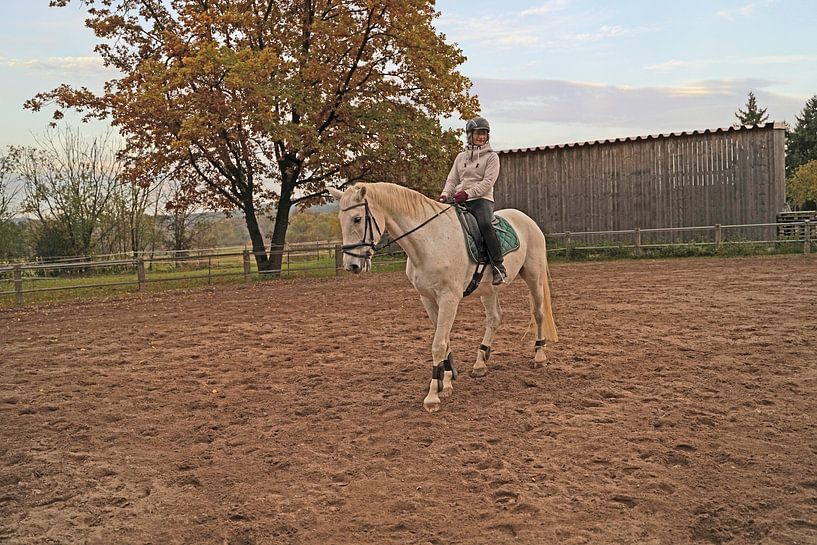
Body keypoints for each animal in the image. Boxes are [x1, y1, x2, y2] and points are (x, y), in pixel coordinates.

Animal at [328, 182, 558, 412]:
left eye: (357, 218)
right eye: (341, 219)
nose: (352, 265)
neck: (430, 242)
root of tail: (526, 219)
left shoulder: (449, 298)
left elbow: (438, 344)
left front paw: (432, 396)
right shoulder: (428, 298)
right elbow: (445, 342)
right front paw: (445, 383)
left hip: (533, 277)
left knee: (538, 313)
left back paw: (539, 356)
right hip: (488, 289)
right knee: (494, 318)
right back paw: (480, 363)